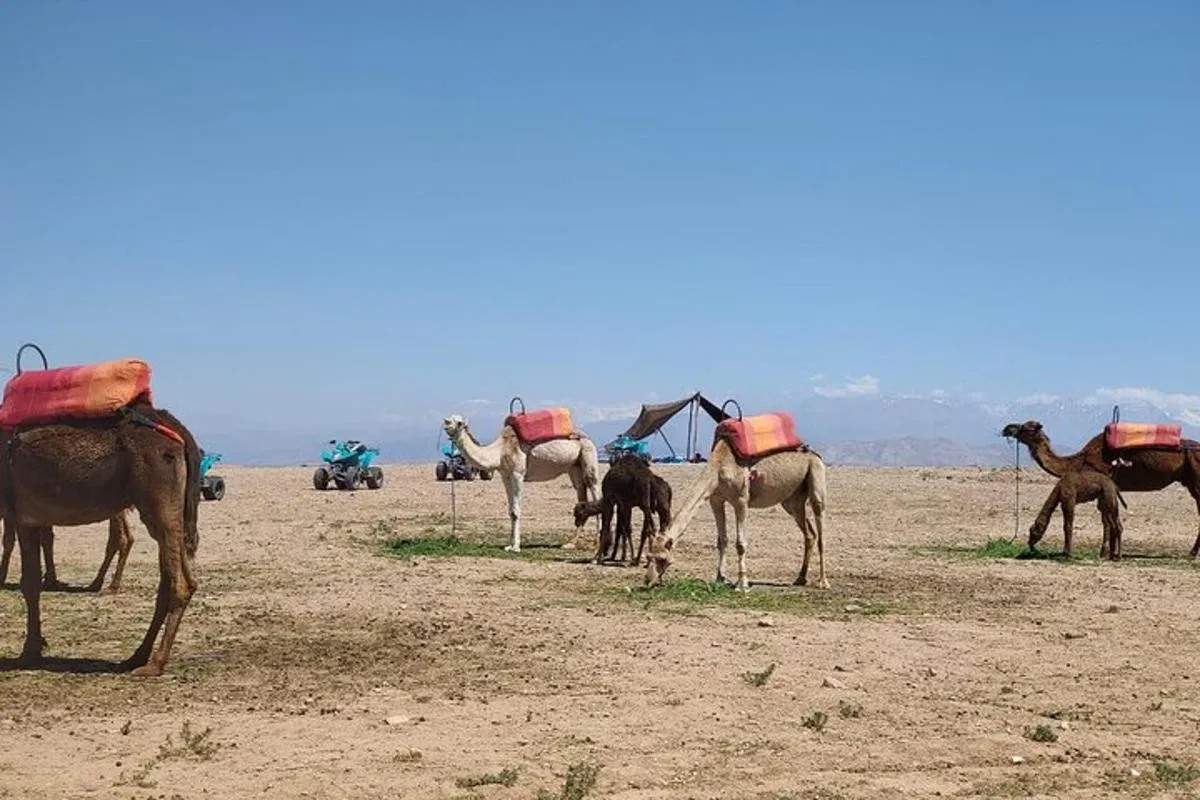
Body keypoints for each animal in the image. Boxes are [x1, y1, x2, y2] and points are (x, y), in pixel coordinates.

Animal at [0, 511, 134, 593]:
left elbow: (9, 540)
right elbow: (46, 539)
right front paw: (50, 580)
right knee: (126, 538)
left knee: (120, 539)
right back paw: (98, 583)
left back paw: (111, 585)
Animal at [441, 412, 601, 552]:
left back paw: (596, 543)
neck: (499, 451)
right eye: (448, 419)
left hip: (588, 455)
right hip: (574, 467)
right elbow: (511, 511)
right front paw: (509, 545)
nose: (446, 424)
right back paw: (570, 543)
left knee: (594, 489)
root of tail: (587, 438)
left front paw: (516, 547)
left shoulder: (517, 474)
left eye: (460, 422)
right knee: (581, 493)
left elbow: (516, 511)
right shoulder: (505, 475)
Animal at [643, 437, 828, 591]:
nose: (647, 580)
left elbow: (740, 543)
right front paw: (720, 578)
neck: (718, 468)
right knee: (809, 533)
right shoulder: (715, 500)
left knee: (819, 525)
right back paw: (800, 578)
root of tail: (815, 455)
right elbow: (722, 540)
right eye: (648, 557)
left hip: (816, 477)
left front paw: (742, 583)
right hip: (792, 501)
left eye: (662, 558)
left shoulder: (741, 500)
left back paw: (822, 582)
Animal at [1001, 420, 1200, 556]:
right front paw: (1111, 551)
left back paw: (1191, 554)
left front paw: (1104, 552)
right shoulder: (1108, 488)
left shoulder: (1104, 483)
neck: (1078, 461)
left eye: (1026, 427)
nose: (1007, 429)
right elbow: (1108, 517)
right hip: (1190, 481)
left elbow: (1104, 519)